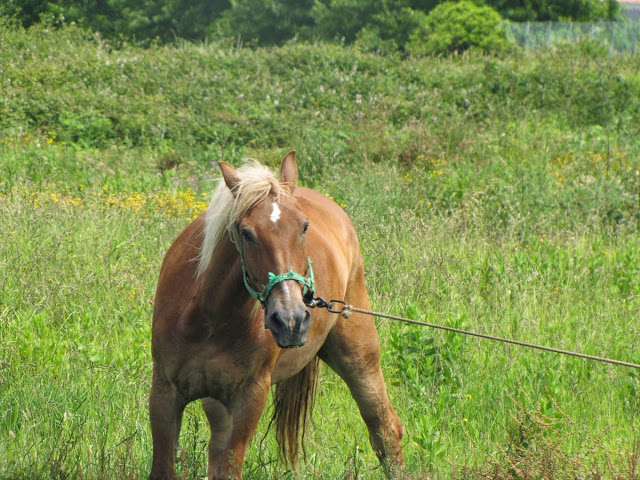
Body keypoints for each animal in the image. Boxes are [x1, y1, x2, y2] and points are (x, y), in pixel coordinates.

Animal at [148, 152, 402, 478]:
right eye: (246, 233)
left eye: (304, 227)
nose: (291, 320)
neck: (208, 320)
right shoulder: (164, 395)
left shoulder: (249, 398)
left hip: (358, 357)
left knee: (385, 429)